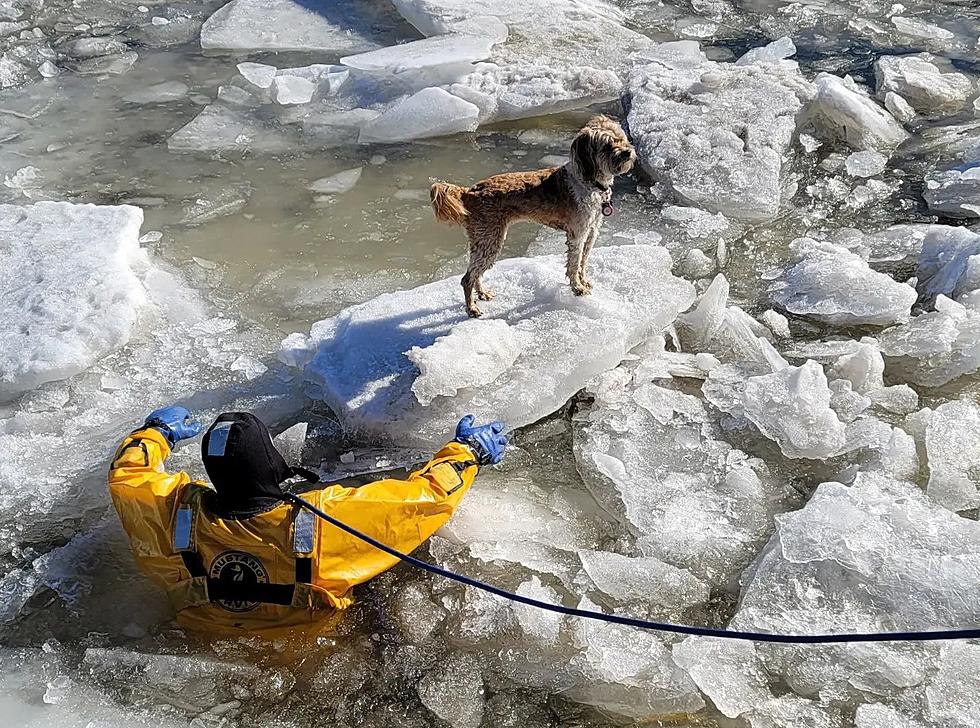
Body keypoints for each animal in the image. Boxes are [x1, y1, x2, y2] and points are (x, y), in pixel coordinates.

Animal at [428, 115, 636, 318]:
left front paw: (584, 282)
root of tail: (468, 192)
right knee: (467, 278)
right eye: (607, 145)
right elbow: (574, 263)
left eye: (621, 139)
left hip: (484, 239)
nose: (627, 152)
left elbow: (583, 261)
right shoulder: (578, 233)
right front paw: (577, 288)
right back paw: (472, 308)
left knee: (475, 272)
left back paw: (483, 294)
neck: (590, 182)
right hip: (490, 238)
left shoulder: (592, 230)